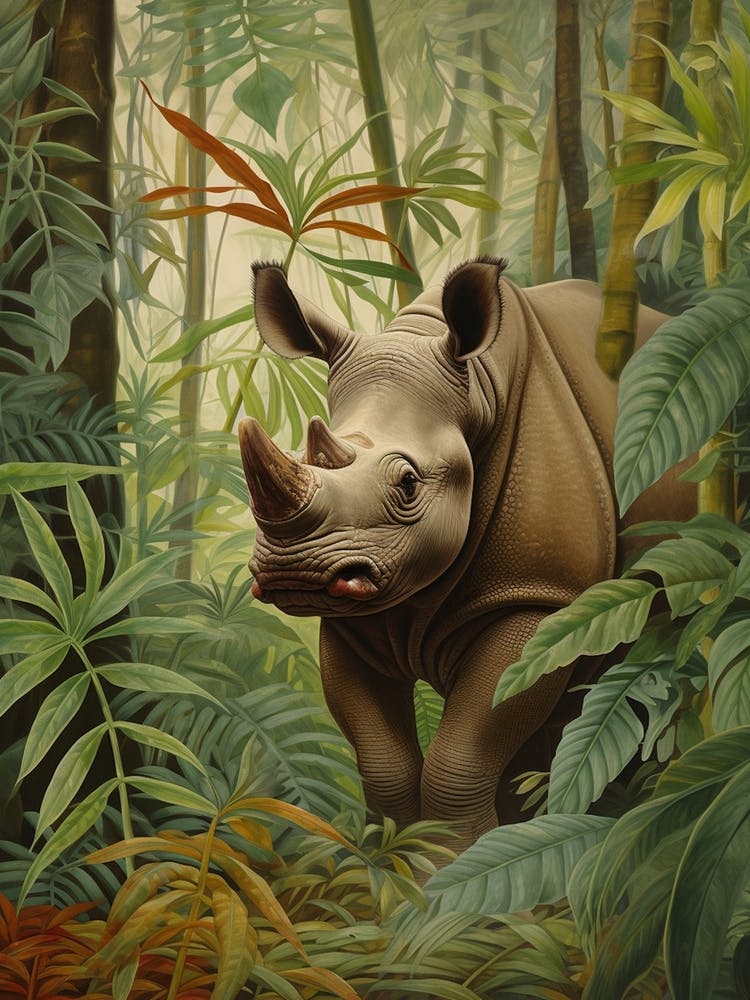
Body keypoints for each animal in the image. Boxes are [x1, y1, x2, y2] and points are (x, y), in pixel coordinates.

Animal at [239, 257, 695, 848]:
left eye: (409, 482)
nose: (294, 571)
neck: (477, 391)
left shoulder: (540, 597)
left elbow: (462, 757)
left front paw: (456, 865)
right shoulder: (351, 611)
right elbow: (383, 764)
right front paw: (399, 861)